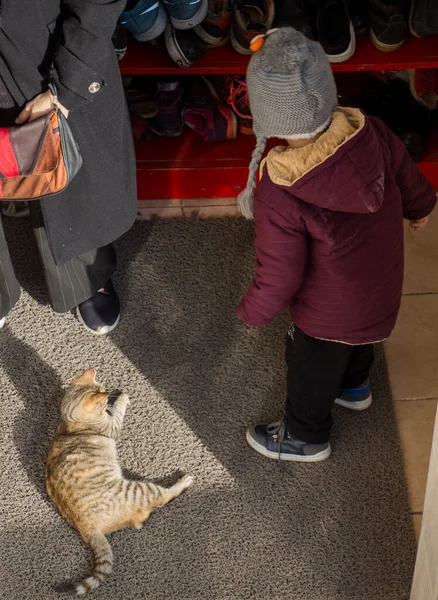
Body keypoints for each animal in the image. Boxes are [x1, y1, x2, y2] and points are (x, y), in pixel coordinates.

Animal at [45, 370, 193, 596]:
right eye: (102, 397)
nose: (108, 395)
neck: (69, 425)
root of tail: (87, 528)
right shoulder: (112, 426)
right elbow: (118, 412)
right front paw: (122, 397)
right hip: (140, 489)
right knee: (162, 498)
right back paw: (184, 481)